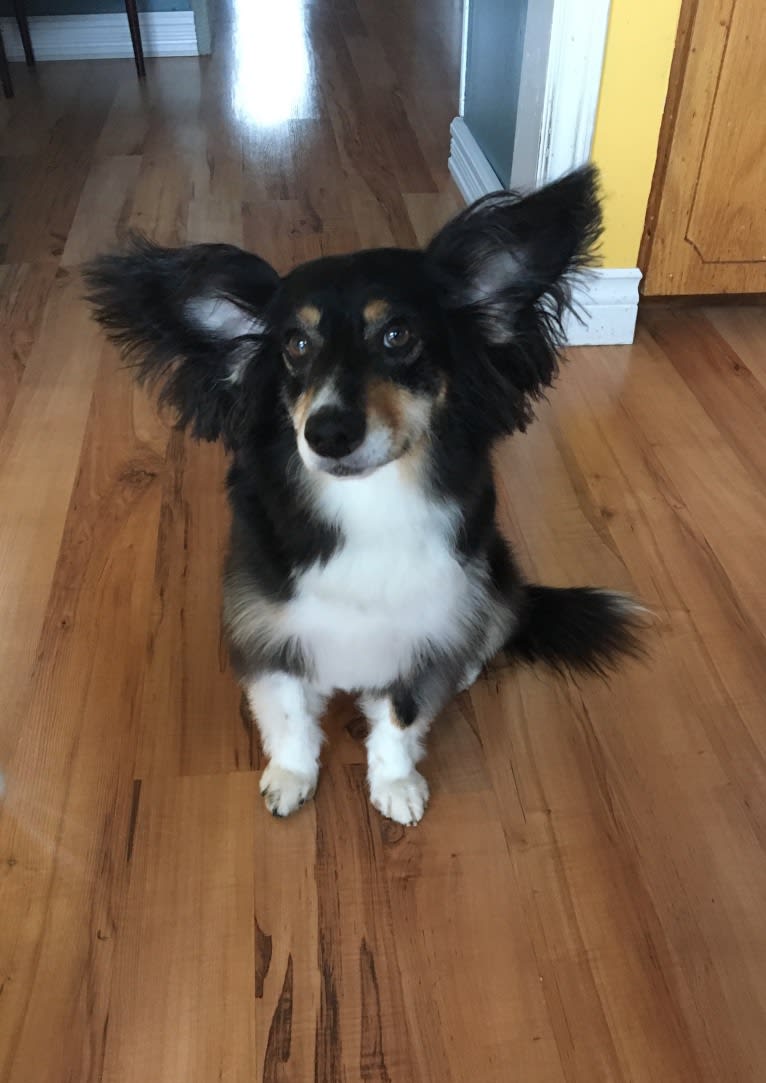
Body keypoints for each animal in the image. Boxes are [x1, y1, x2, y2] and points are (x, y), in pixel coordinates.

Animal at [86, 166, 645, 827]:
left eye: (397, 335)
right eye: (296, 345)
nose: (326, 433)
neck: (370, 500)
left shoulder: (421, 625)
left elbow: (402, 715)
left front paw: (395, 784)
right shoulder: (267, 625)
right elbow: (287, 713)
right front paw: (291, 776)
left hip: (494, 570)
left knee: (492, 624)